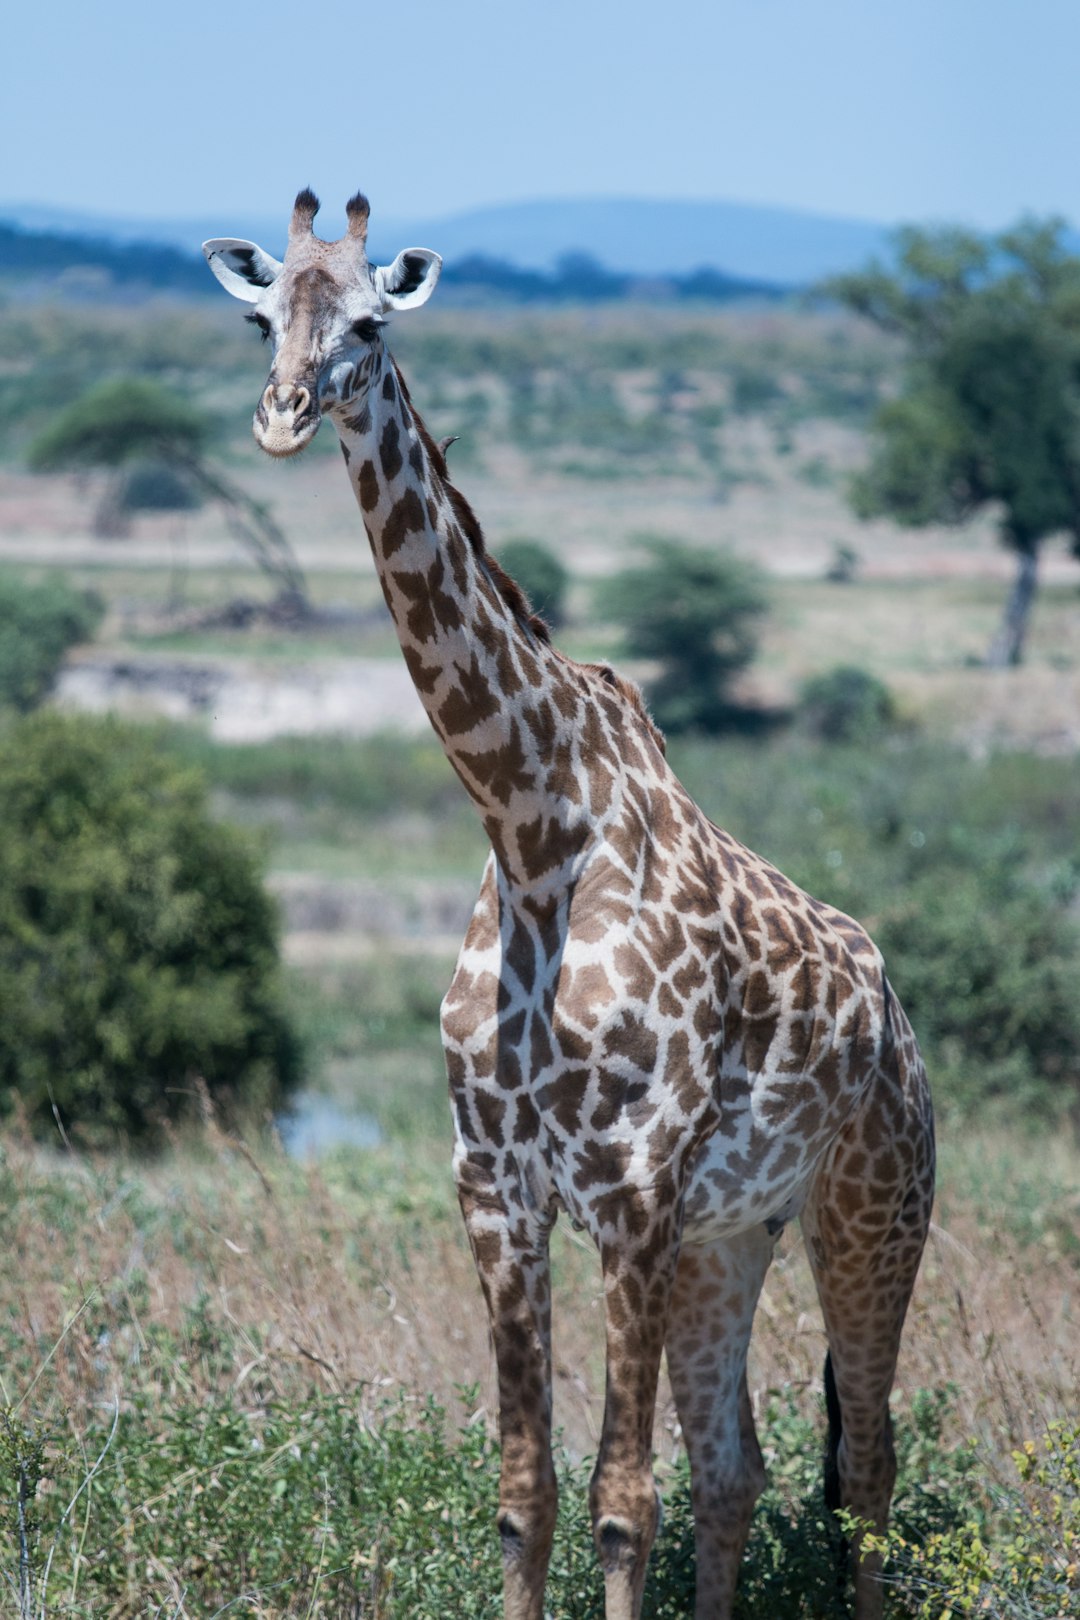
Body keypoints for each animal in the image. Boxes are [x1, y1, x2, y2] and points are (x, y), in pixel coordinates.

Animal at [204, 192, 939, 1620]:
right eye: (264, 319)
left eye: (370, 323)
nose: (282, 414)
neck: (531, 826)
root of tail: (895, 1014)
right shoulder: (498, 1187)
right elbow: (525, 1496)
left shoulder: (632, 1189)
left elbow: (619, 1503)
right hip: (735, 1237)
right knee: (739, 1467)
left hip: (872, 1210)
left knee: (867, 1470)